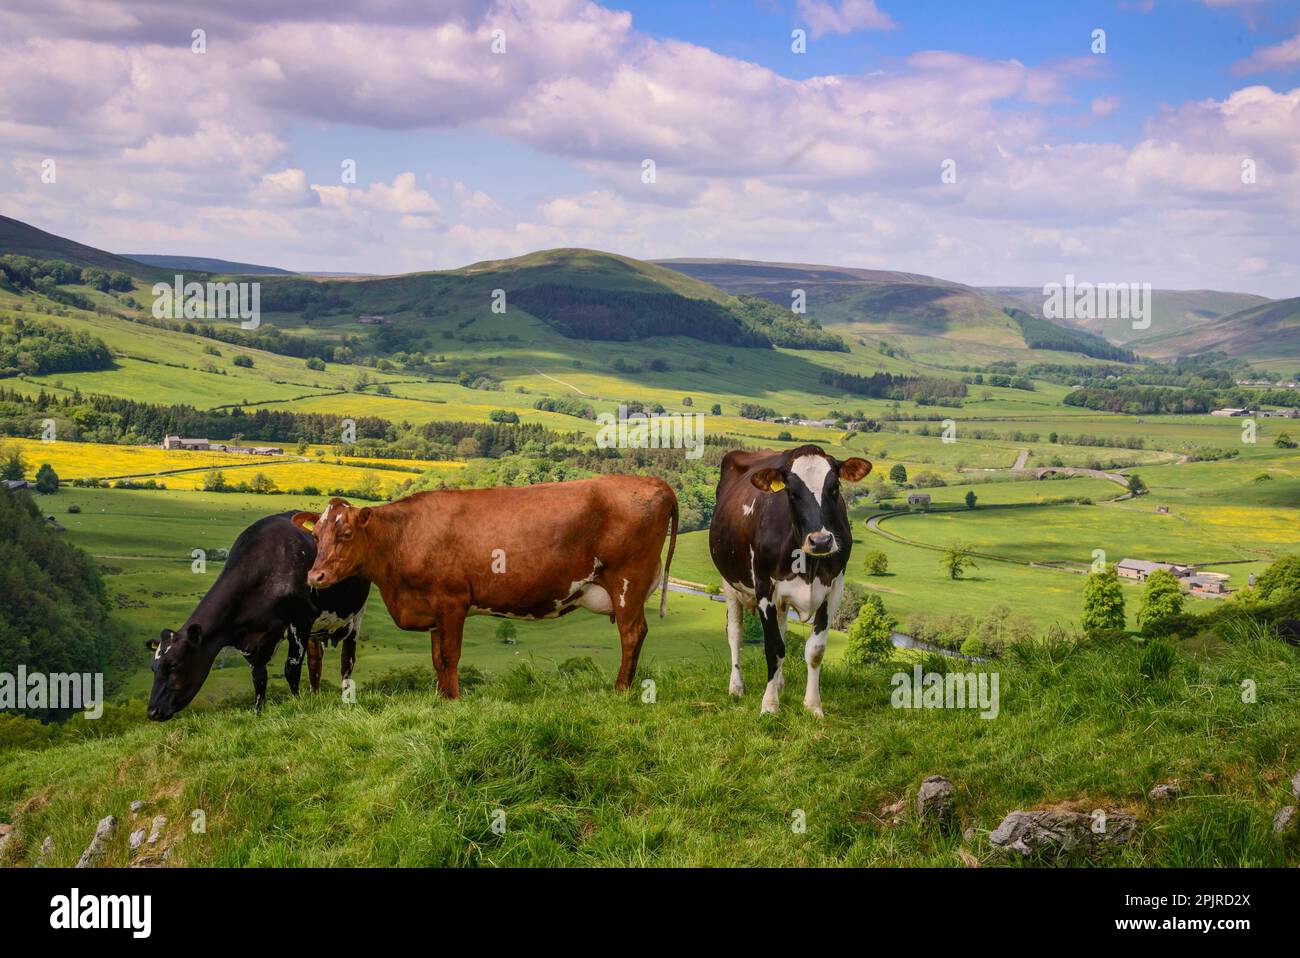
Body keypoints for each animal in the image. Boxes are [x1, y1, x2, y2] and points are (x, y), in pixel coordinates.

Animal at [145, 512, 371, 721]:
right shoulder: (251, 638)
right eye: (153, 668)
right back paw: (315, 696)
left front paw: (297, 704)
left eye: (174, 664)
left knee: (347, 660)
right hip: (316, 630)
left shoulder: (301, 618)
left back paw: (345, 696)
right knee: (315, 663)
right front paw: (257, 713)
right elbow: (259, 676)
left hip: (356, 616)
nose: (152, 711)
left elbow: (292, 668)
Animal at [294, 475, 678, 698]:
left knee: (632, 634)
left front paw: (453, 699)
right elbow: (436, 658)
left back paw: (621, 688)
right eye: (316, 536)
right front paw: (440, 697)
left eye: (345, 534)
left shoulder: (452, 602)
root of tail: (651, 481)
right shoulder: (434, 611)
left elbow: (449, 656)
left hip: (628, 582)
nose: (315, 577)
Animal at [708, 445, 871, 716]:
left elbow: (814, 650)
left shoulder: (834, 589)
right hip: (729, 582)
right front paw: (769, 705)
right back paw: (737, 686)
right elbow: (774, 648)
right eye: (792, 493)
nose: (821, 541)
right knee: (735, 633)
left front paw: (813, 706)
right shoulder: (764, 587)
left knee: (783, 628)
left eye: (835, 488)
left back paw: (780, 683)